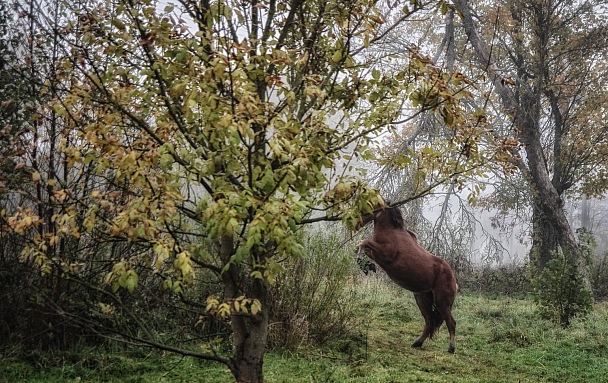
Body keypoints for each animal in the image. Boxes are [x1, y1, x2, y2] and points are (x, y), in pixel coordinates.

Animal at [356, 207, 456, 354]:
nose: (357, 223)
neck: (391, 231)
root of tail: (454, 280)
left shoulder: (387, 253)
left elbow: (364, 242)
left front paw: (366, 265)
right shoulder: (376, 253)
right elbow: (360, 245)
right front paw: (367, 265)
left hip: (441, 303)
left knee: (451, 323)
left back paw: (451, 348)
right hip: (422, 299)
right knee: (430, 322)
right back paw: (417, 343)